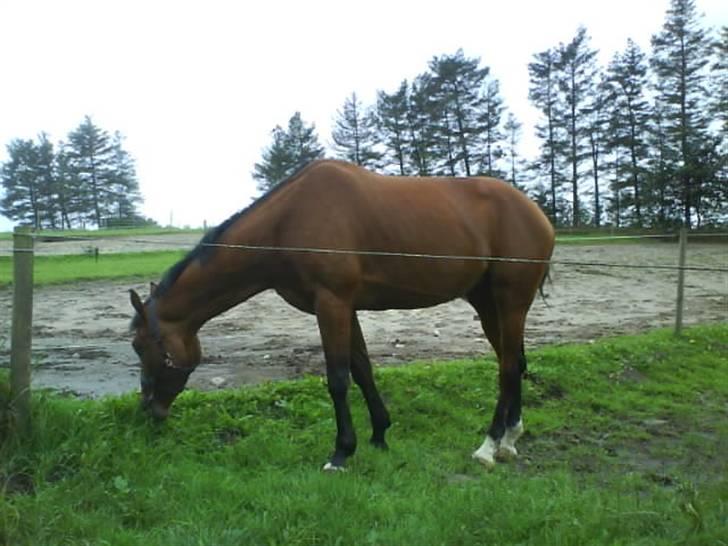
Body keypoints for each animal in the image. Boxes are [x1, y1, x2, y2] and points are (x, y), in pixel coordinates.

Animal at [129, 157, 552, 468]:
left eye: (139, 345)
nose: (149, 409)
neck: (287, 222)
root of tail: (536, 213)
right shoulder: (346, 308)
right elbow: (362, 369)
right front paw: (379, 434)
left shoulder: (331, 303)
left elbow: (337, 378)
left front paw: (341, 452)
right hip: (488, 304)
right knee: (514, 363)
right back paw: (510, 438)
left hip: (511, 302)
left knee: (507, 369)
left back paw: (488, 446)